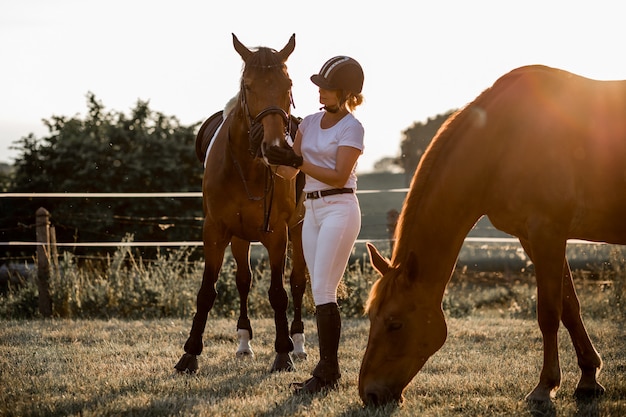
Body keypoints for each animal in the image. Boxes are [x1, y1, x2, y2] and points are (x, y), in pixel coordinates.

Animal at [174, 34, 306, 374]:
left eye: (289, 84)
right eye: (248, 85)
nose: (276, 148)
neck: (246, 166)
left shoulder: (277, 234)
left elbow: (278, 293)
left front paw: (283, 353)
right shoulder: (215, 231)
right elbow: (207, 292)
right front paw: (190, 354)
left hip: (299, 229)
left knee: (298, 282)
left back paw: (299, 343)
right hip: (240, 237)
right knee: (243, 282)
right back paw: (244, 343)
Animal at [356, 64, 624, 404]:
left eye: (395, 324)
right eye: (370, 316)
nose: (370, 393)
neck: (505, 141)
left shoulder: (548, 232)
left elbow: (549, 312)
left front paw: (544, 387)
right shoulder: (533, 238)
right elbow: (570, 307)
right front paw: (588, 379)